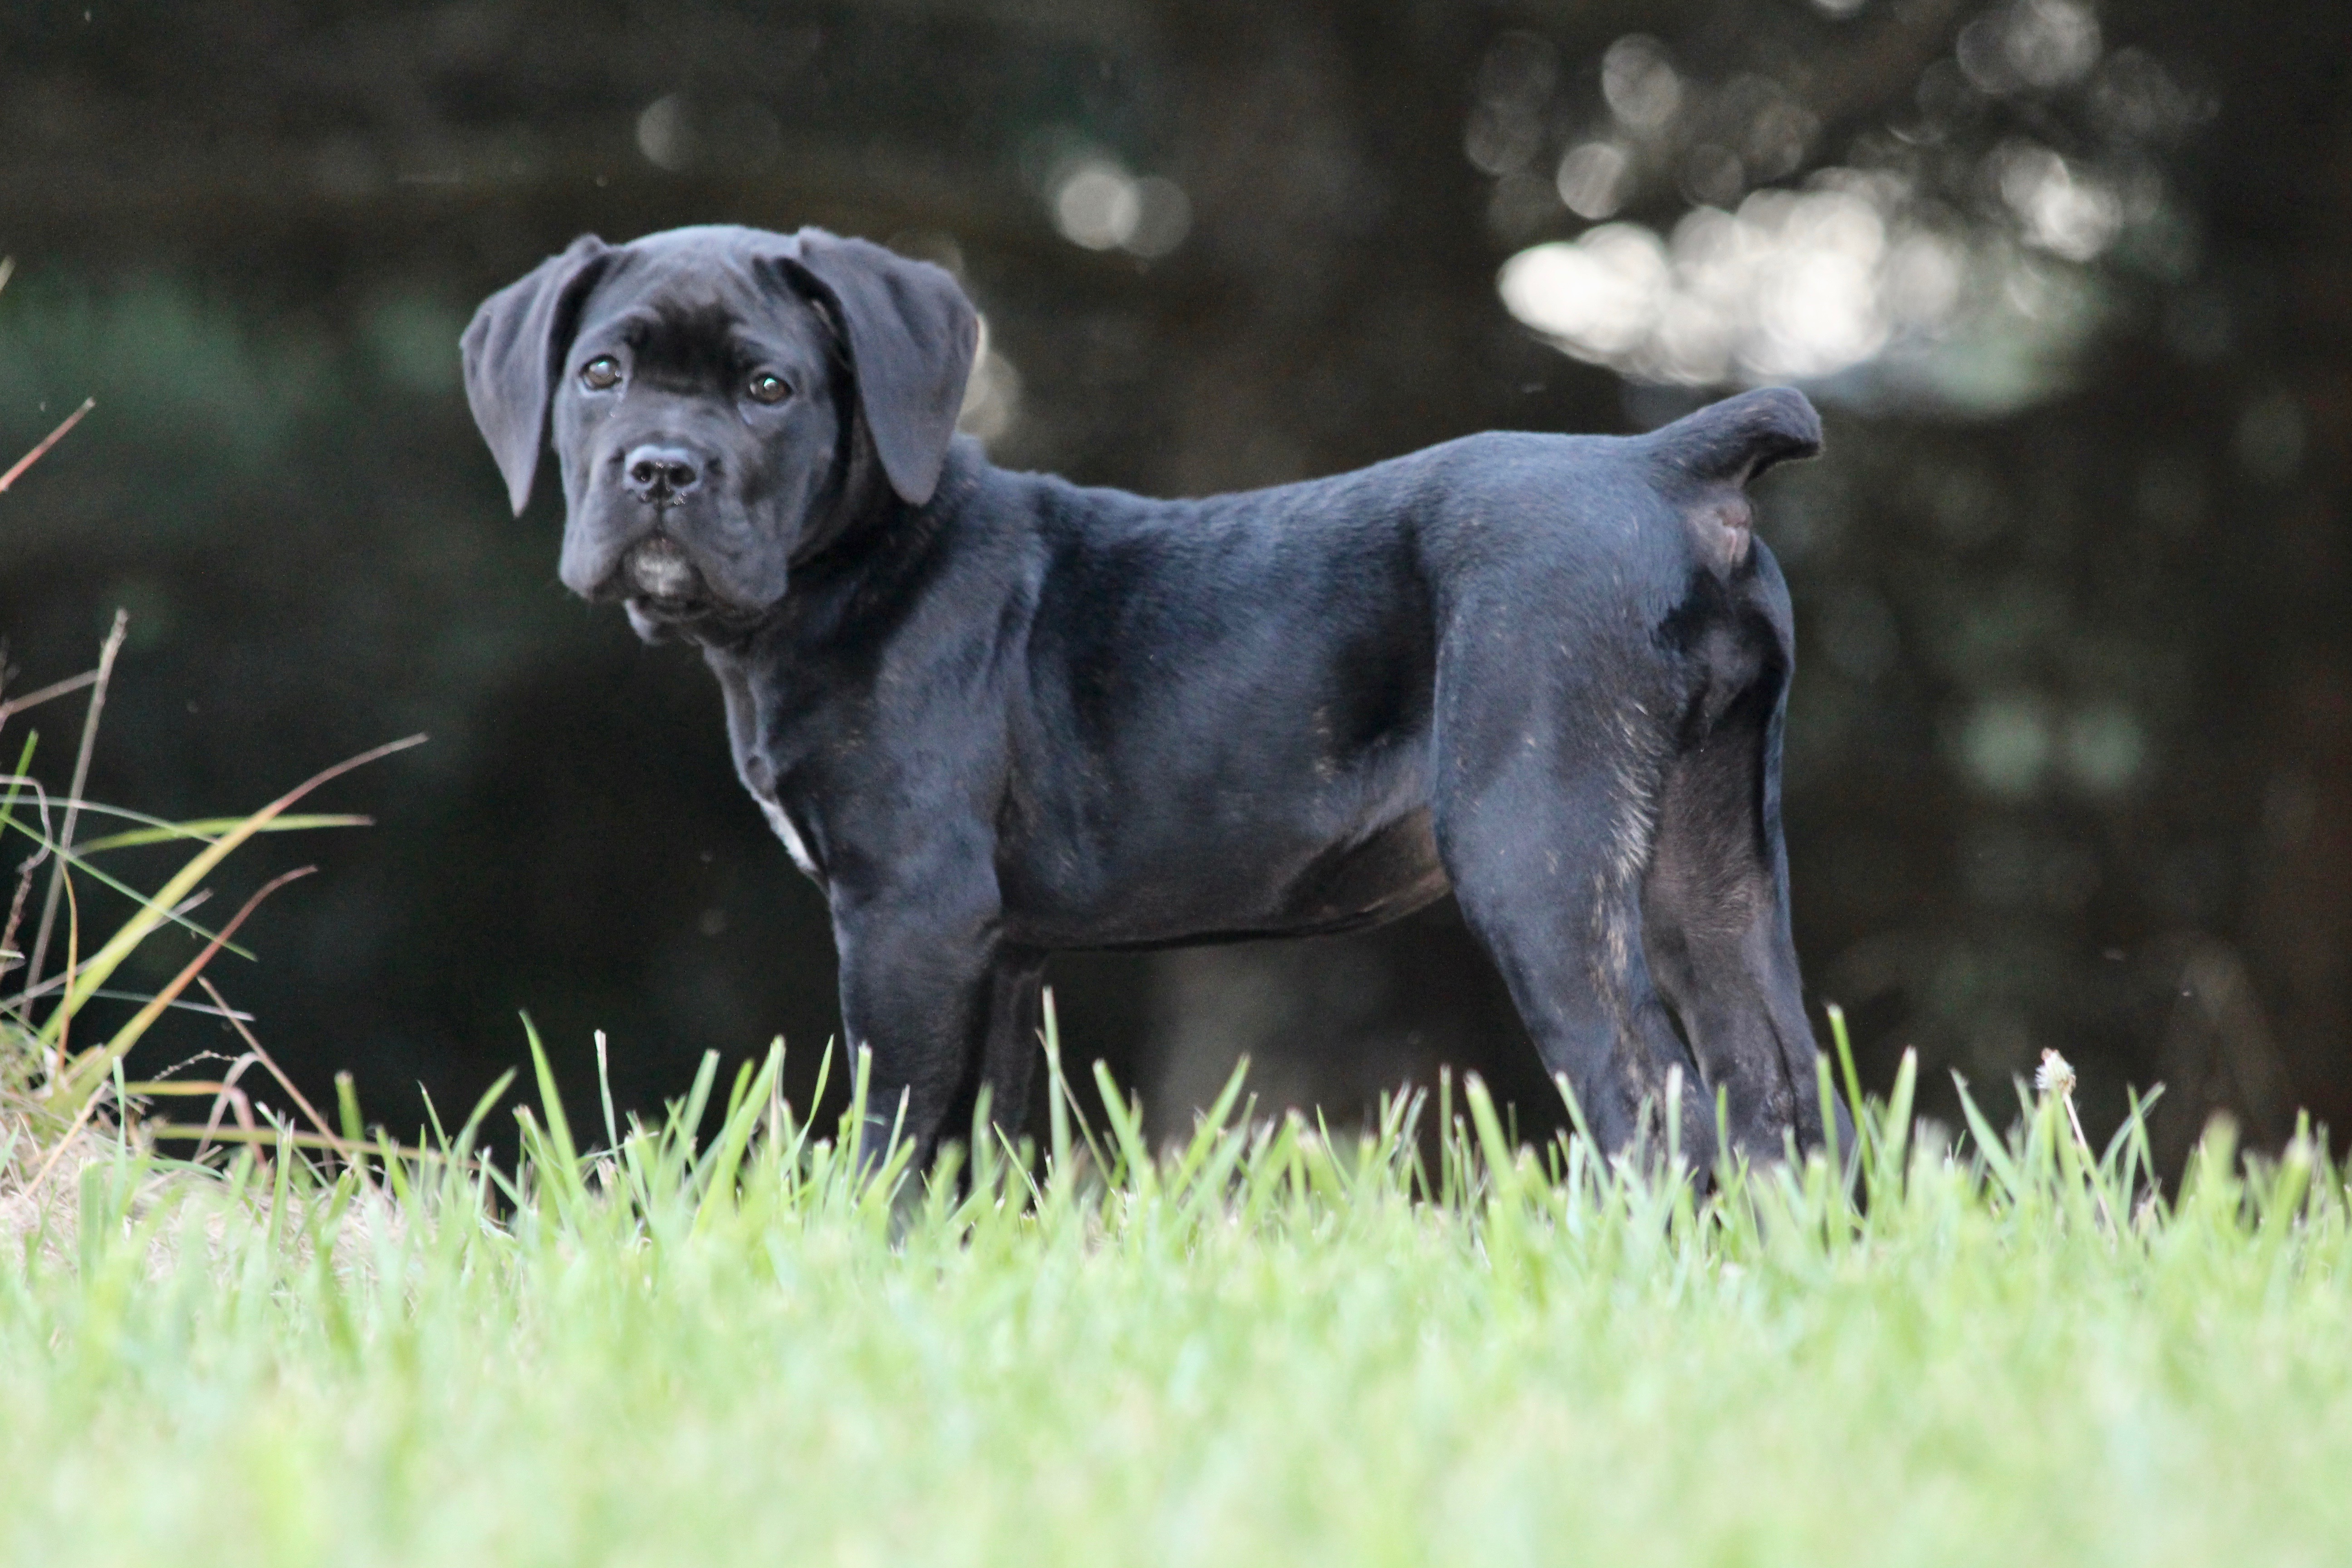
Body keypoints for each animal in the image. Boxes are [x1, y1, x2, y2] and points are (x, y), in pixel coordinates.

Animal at [463, 227, 1834, 1171]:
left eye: (766, 389)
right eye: (599, 373)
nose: (659, 469)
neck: (858, 560)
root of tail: (1669, 463)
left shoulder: (909, 917)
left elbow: (897, 1141)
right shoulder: (998, 954)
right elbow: (980, 1152)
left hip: (1540, 860)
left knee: (1652, 1106)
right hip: (1714, 871)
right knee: (1774, 1104)